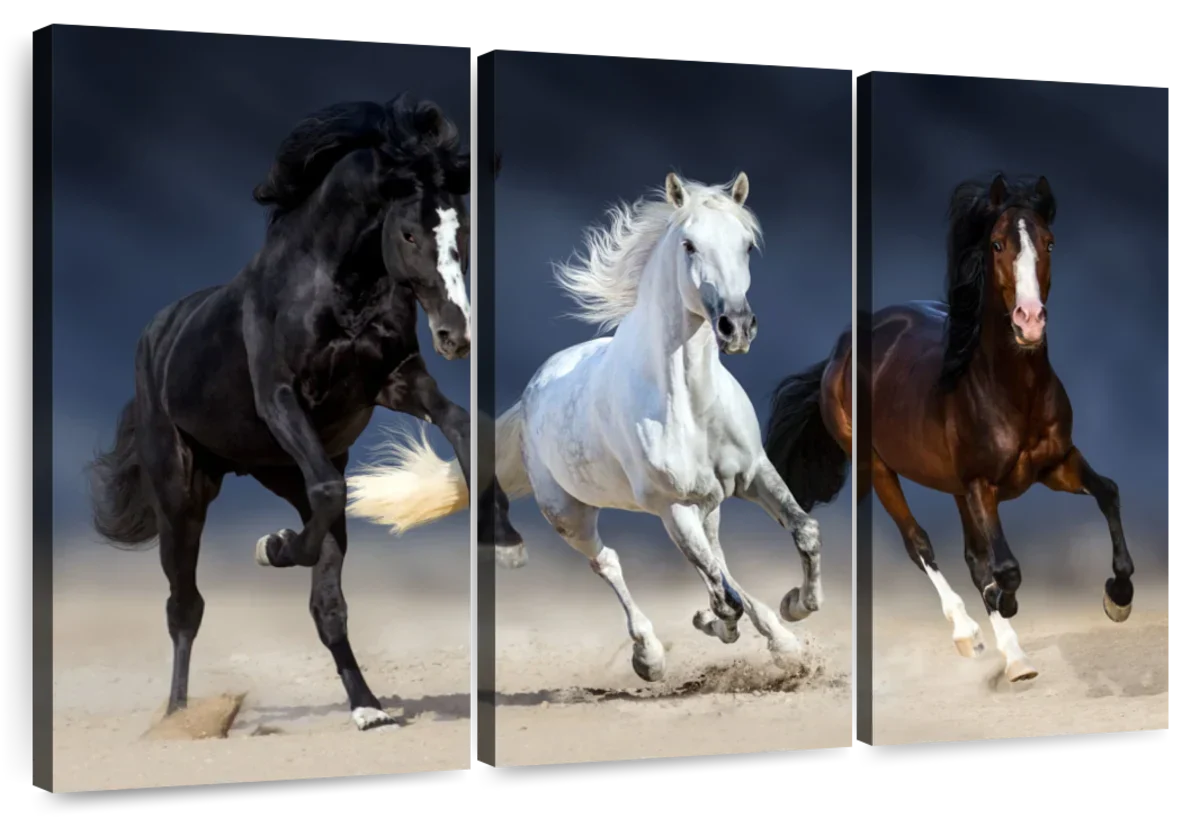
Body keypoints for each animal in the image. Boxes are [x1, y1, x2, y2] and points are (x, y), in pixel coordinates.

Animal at [84, 94, 507, 732]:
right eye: (409, 232)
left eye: (465, 230)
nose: (457, 335)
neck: (337, 287)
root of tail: (158, 334)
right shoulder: (281, 397)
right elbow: (331, 487)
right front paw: (273, 546)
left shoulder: (398, 380)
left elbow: (464, 427)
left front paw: (503, 535)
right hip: (182, 496)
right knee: (185, 606)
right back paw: (179, 718)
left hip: (279, 473)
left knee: (325, 601)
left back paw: (367, 708)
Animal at [346, 172, 826, 682]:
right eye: (689, 245)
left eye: (747, 245)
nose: (736, 326)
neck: (690, 404)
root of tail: (530, 394)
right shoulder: (672, 506)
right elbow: (722, 595)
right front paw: (718, 624)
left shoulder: (753, 474)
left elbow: (803, 531)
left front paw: (795, 607)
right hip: (571, 515)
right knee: (611, 563)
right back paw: (650, 656)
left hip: (707, 505)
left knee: (718, 559)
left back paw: (780, 639)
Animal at [765, 172, 1135, 684]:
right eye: (997, 244)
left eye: (1049, 242)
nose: (1029, 321)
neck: (1011, 390)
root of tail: (841, 348)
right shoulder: (982, 485)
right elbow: (1007, 567)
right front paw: (1006, 602)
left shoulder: (1057, 464)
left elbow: (1108, 494)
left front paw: (1118, 597)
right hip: (878, 468)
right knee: (920, 543)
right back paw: (968, 633)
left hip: (955, 488)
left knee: (973, 559)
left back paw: (1015, 657)